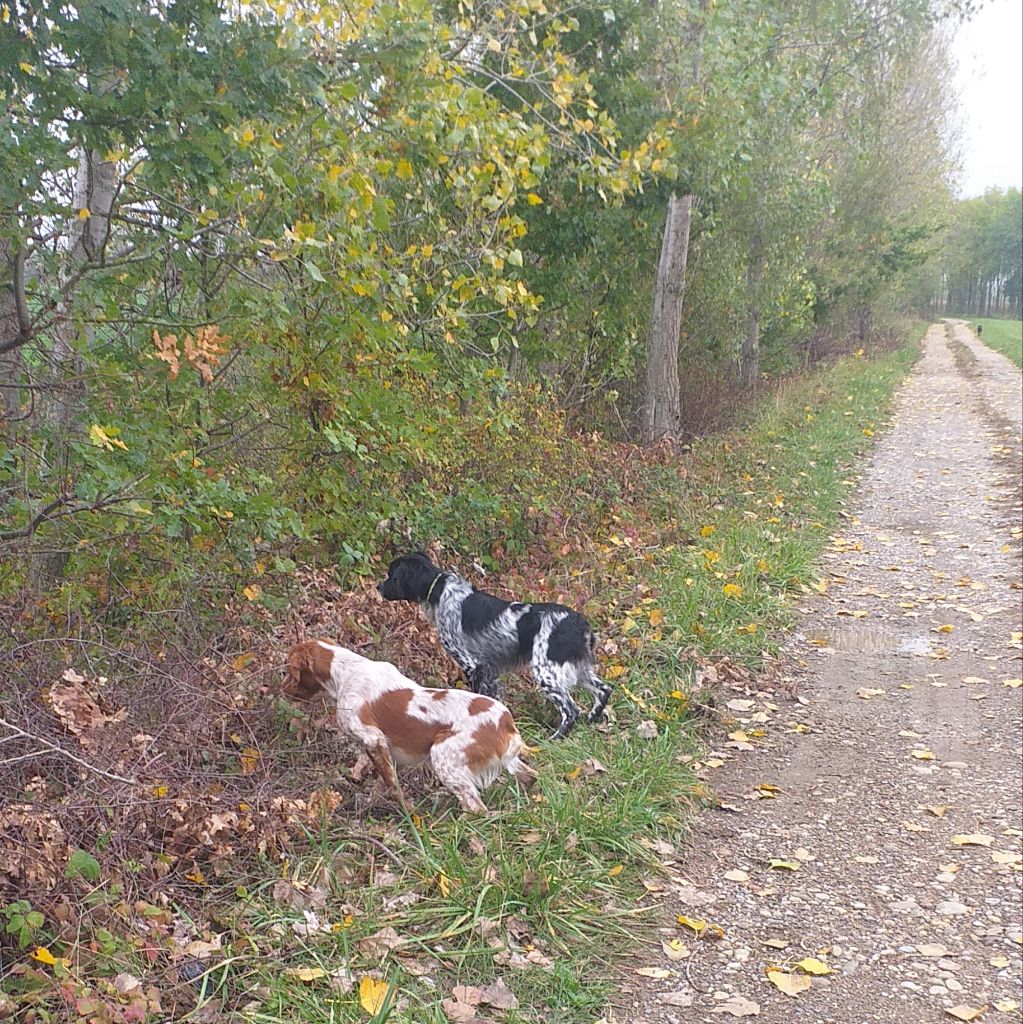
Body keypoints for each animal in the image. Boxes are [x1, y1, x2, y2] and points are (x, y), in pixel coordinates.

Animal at [280, 638, 536, 815]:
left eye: (289, 671)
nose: (282, 689)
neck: (344, 672)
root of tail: (505, 721)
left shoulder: (373, 739)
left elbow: (392, 786)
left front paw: (408, 815)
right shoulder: (394, 754)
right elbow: (383, 783)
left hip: (442, 755)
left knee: (476, 808)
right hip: (508, 762)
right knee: (531, 777)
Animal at [380, 552, 610, 737]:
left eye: (391, 575)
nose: (378, 587)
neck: (440, 592)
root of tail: (579, 623)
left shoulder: (472, 665)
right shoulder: (491, 671)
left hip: (546, 672)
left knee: (571, 710)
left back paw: (555, 739)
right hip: (577, 669)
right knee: (604, 690)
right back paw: (592, 721)